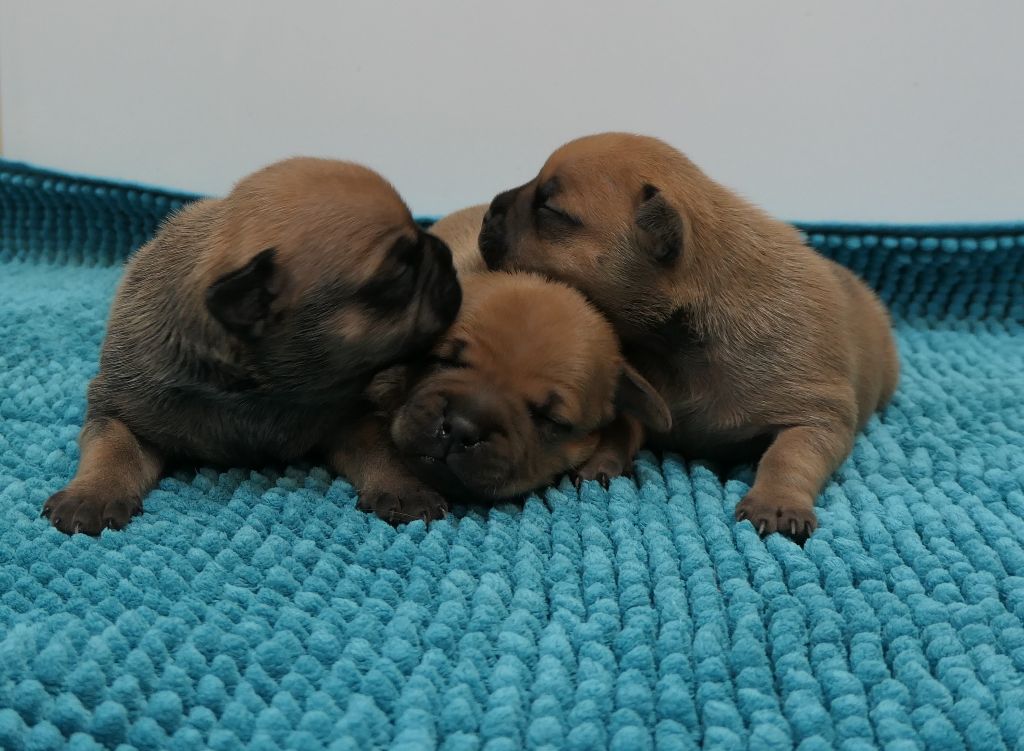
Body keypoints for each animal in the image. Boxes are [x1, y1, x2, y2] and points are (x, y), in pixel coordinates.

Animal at [42, 157, 461, 534]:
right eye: (401, 273)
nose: (445, 253)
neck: (264, 387)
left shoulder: (353, 414)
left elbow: (381, 450)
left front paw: (404, 487)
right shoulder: (120, 410)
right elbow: (113, 449)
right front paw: (92, 494)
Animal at [329, 204, 671, 523]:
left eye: (549, 419)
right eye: (443, 360)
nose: (460, 429)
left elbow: (628, 425)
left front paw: (601, 460)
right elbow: (372, 439)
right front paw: (403, 488)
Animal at [479, 132, 899, 543]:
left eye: (549, 208)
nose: (489, 209)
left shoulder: (818, 414)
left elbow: (789, 455)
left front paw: (777, 502)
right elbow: (622, 427)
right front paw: (601, 460)